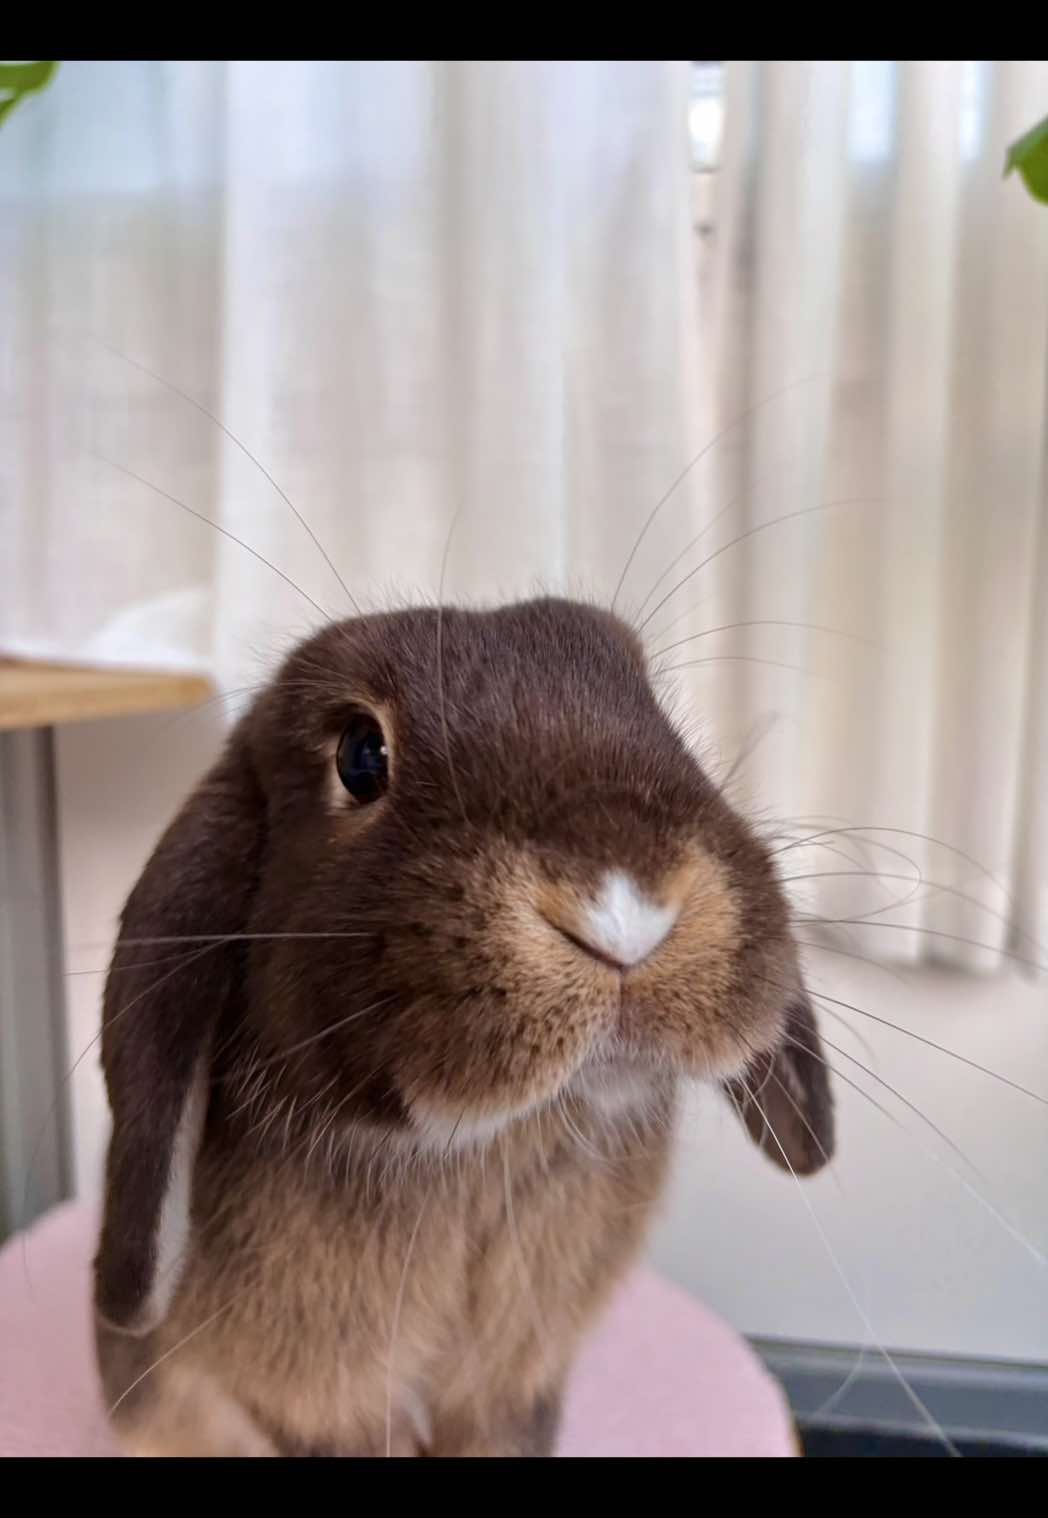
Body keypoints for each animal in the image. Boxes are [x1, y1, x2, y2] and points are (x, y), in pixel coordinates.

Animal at [93, 595, 834, 1457]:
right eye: (361, 756)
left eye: (655, 710)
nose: (624, 908)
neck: (493, 1151)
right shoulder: (311, 1408)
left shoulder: (516, 1386)